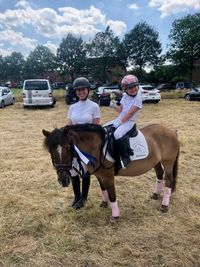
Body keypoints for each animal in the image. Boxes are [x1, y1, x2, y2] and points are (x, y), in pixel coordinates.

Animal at [42, 123, 180, 220]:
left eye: (67, 148)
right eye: (50, 151)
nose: (63, 180)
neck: (95, 148)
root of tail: (171, 131)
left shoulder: (108, 176)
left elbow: (112, 195)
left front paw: (115, 216)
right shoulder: (99, 175)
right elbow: (103, 189)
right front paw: (104, 203)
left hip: (168, 161)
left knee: (169, 180)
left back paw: (164, 206)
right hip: (156, 161)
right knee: (159, 175)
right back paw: (155, 195)